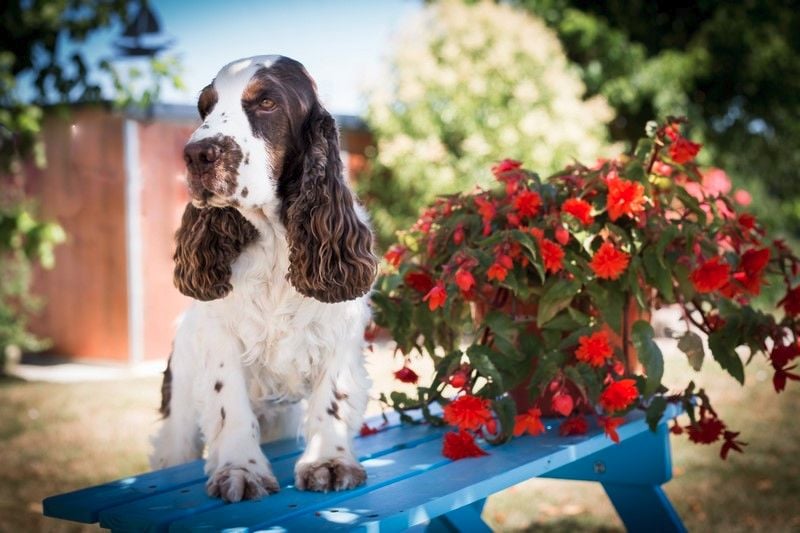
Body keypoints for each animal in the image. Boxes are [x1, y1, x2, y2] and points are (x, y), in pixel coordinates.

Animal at [152, 56, 378, 500]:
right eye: (205, 107)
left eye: (267, 102)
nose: (196, 154)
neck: (275, 239)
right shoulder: (222, 336)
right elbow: (230, 405)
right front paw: (241, 470)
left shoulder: (339, 329)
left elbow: (332, 399)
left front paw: (328, 463)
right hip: (179, 417)